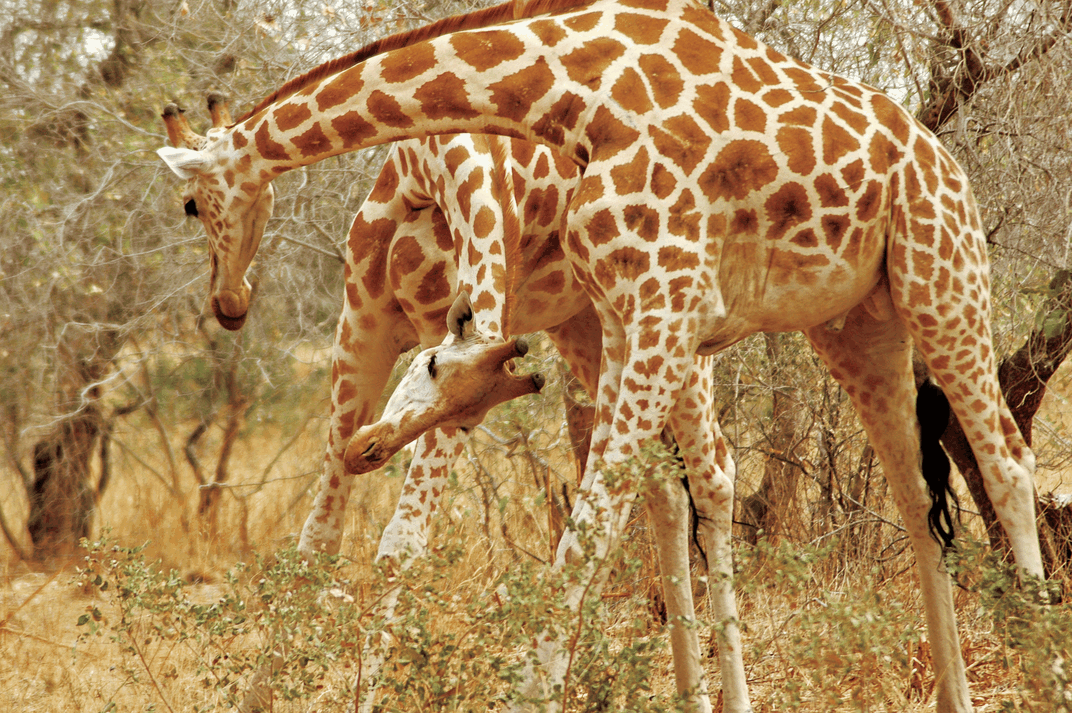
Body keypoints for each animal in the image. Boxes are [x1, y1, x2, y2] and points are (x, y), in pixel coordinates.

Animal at [154, 0, 1046, 710]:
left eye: (190, 202)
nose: (229, 304)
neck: (575, 98)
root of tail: (942, 157)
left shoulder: (659, 304)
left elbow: (551, 552)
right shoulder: (598, 314)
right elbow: (322, 545)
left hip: (943, 284)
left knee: (1003, 460)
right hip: (858, 326)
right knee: (910, 493)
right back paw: (952, 697)